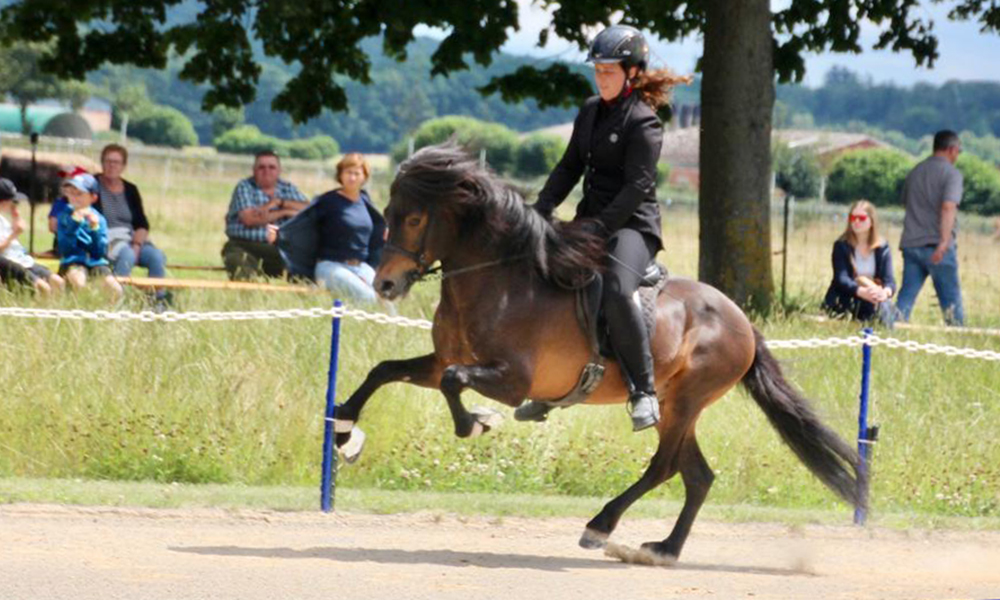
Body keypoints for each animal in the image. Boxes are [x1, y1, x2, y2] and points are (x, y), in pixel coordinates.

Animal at [332, 144, 864, 564]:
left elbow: (453, 385)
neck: (499, 279)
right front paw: (344, 433)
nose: (385, 284)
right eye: (387, 213)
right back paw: (663, 550)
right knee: (697, 476)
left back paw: (601, 526)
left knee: (665, 468)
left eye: (414, 218)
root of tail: (741, 320)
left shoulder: (511, 381)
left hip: (685, 401)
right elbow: (386, 372)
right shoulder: (443, 359)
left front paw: (478, 423)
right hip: (677, 404)